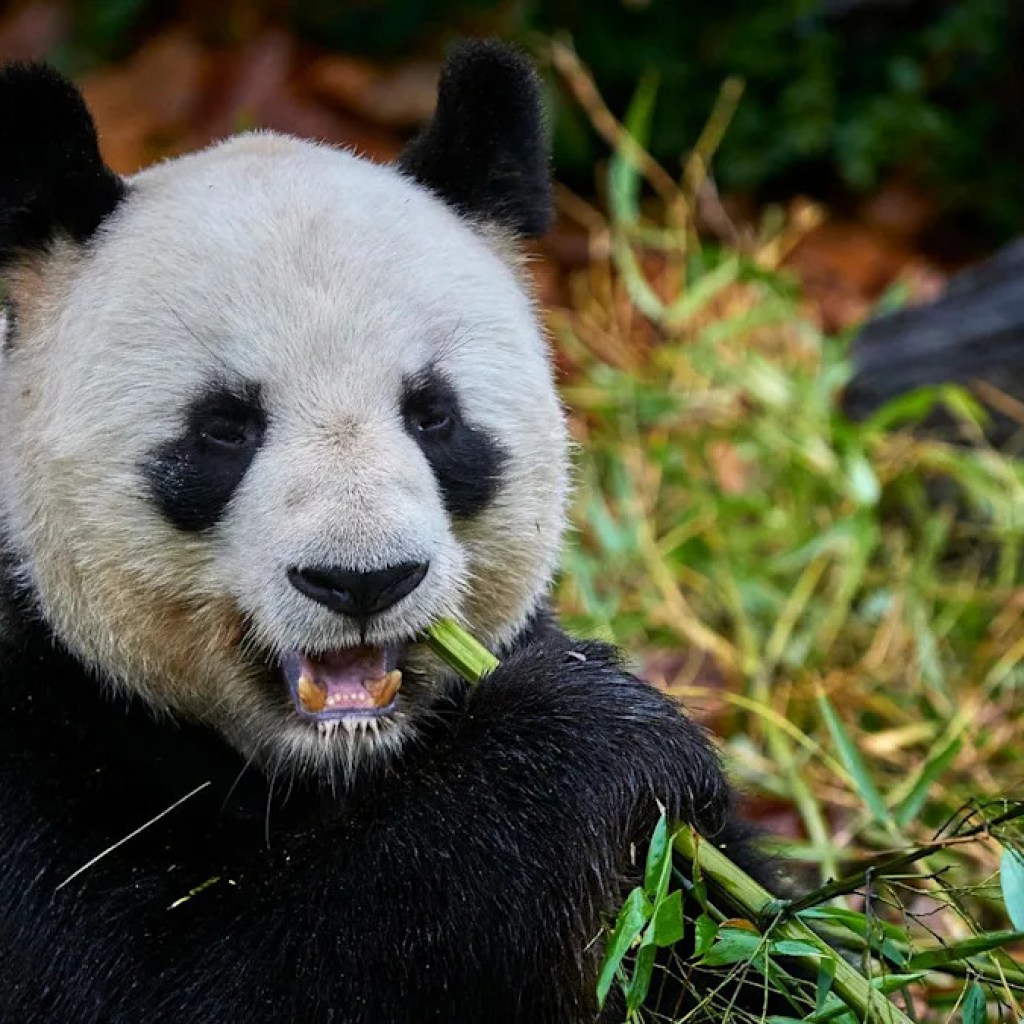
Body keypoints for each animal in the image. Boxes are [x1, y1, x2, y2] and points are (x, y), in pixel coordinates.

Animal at [0, 41, 768, 1024]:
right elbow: (187, 981)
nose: (363, 580)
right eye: (224, 428)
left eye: (433, 414)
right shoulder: (23, 743)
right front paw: (594, 731)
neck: (338, 765)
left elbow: (728, 942)